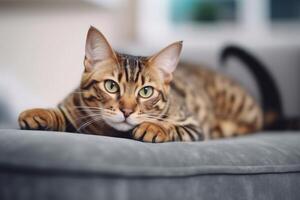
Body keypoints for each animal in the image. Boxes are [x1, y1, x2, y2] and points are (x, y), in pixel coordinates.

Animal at [18, 26, 266, 142]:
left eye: (146, 91)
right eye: (111, 86)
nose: (127, 111)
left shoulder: (193, 125)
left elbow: (172, 126)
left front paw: (153, 127)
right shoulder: (74, 107)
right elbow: (61, 112)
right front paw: (40, 113)